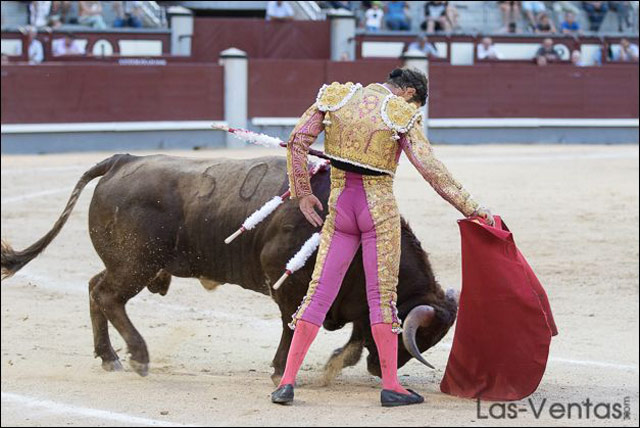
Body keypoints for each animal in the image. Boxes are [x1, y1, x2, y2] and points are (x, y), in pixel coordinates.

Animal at [2, 154, 458, 384]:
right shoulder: (286, 281)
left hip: (124, 263)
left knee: (95, 288)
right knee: (107, 295)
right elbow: (294, 325)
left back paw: (108, 357)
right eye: (420, 337)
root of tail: (121, 160)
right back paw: (138, 357)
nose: (382, 371)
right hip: (136, 263)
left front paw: (334, 363)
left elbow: (357, 331)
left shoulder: (350, 300)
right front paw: (281, 371)